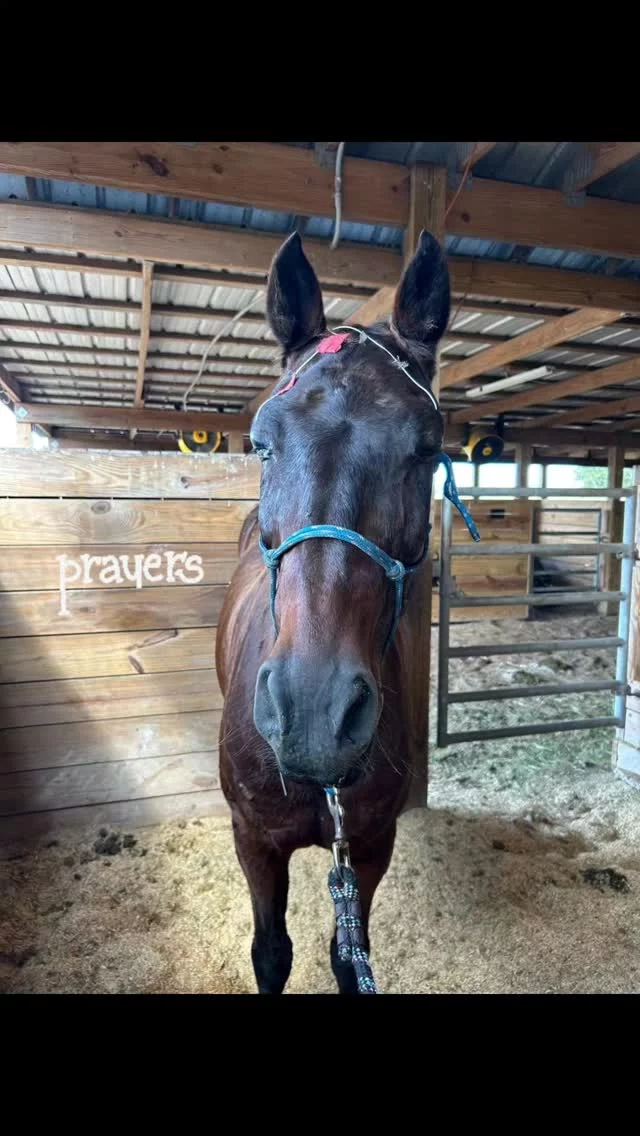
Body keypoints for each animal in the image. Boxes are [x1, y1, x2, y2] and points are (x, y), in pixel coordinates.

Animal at [215, 226, 457, 994]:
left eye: (428, 447)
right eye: (263, 443)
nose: (314, 714)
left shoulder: (370, 846)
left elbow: (349, 959)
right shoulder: (254, 841)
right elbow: (271, 951)